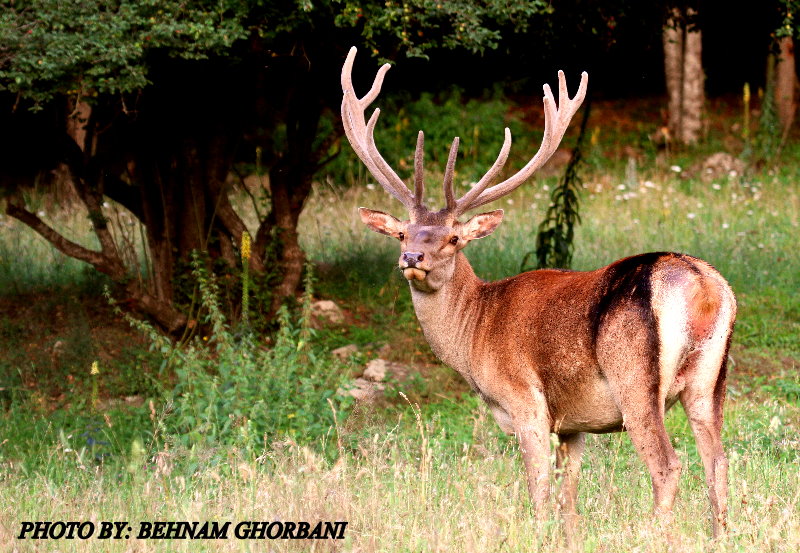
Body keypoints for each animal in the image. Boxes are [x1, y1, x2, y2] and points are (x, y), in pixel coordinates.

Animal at [341, 46, 736, 538]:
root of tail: (702, 284)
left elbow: (539, 490)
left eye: (454, 238)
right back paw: (721, 536)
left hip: (634, 377)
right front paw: (569, 537)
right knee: (718, 462)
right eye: (401, 234)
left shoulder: (526, 400)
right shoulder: (572, 423)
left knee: (667, 466)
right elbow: (569, 496)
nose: (412, 257)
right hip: (709, 379)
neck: (475, 334)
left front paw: (536, 533)